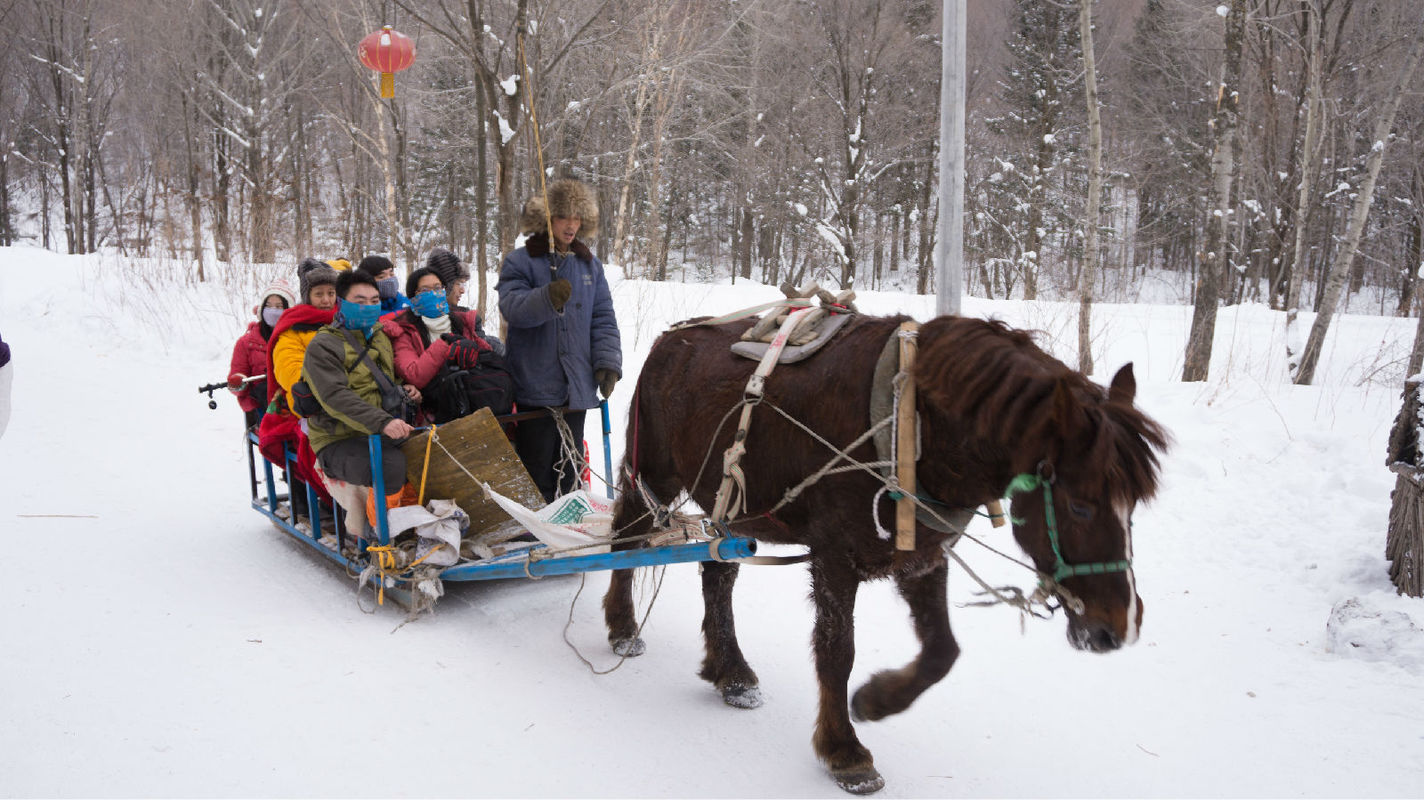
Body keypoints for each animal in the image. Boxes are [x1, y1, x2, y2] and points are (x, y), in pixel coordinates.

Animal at [600, 311, 1167, 791]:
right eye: (1080, 506)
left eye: (1135, 505)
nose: (1117, 629)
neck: (915, 421)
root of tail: (671, 338)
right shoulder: (835, 556)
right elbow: (837, 650)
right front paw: (844, 749)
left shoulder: (922, 555)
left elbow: (942, 651)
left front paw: (877, 700)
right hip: (654, 473)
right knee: (627, 538)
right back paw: (624, 627)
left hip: (734, 505)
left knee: (717, 575)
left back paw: (732, 672)